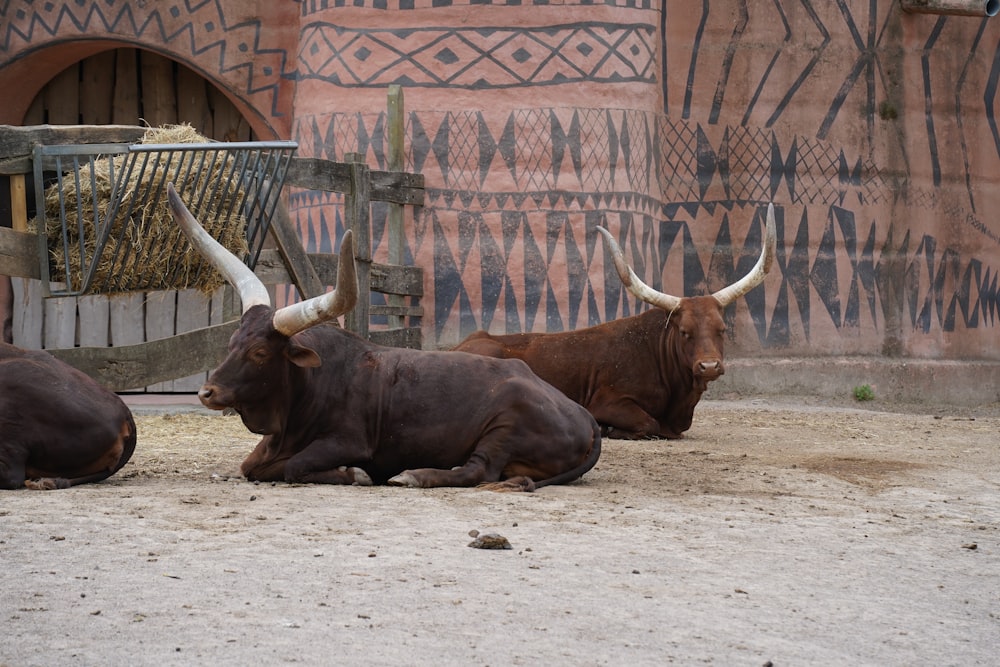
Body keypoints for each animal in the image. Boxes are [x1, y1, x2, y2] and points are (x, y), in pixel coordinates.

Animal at [167, 185, 596, 494]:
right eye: (231, 343)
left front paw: (354, 474)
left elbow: (296, 466)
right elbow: (252, 466)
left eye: (259, 352)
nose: (207, 392)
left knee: (479, 469)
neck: (306, 390)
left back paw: (415, 475)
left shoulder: (349, 442)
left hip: (505, 425)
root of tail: (584, 416)